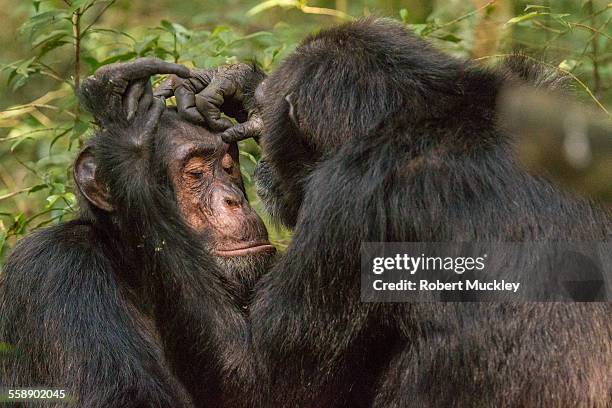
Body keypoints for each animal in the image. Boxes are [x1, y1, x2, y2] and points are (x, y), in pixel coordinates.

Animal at [0, 59, 272, 406]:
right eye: (196, 173)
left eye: (227, 168)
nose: (233, 199)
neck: (130, 269)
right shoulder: (55, 270)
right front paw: (127, 135)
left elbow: (252, 376)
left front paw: (237, 86)